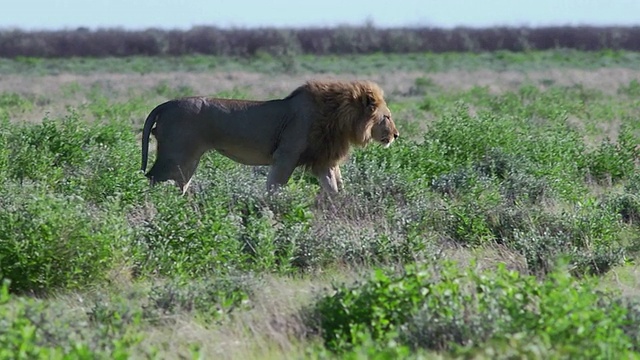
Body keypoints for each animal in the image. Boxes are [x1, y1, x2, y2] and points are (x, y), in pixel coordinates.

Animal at [142, 80, 398, 195]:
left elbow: (334, 187)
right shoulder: (286, 155)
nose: (396, 135)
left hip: (188, 160)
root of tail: (166, 104)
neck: (339, 117)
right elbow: (275, 185)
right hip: (176, 155)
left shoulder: (323, 160)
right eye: (386, 116)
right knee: (153, 177)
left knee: (179, 182)